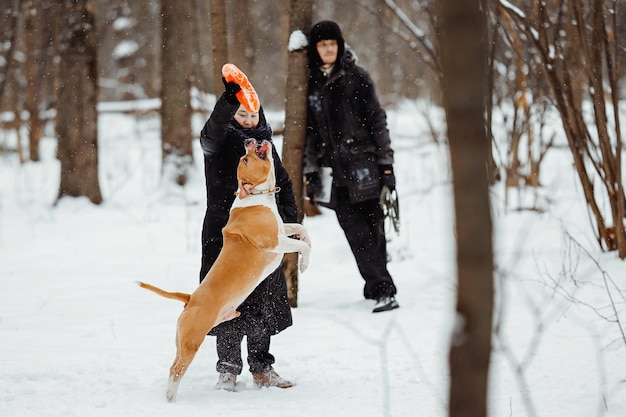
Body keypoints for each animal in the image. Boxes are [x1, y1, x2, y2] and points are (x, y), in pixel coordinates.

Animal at [139, 139, 310, 400]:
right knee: (176, 369)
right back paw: (172, 399)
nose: (249, 141)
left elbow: (301, 229)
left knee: (173, 365)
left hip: (182, 341)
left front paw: (304, 256)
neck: (255, 196)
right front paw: (305, 262)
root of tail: (190, 299)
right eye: (245, 159)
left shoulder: (283, 229)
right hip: (192, 340)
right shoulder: (274, 242)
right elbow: (301, 244)